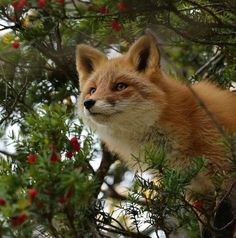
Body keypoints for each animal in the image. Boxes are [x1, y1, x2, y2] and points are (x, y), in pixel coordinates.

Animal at [76, 35, 236, 238]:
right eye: (93, 90)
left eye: (120, 86)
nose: (89, 103)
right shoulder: (198, 190)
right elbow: (207, 229)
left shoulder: (225, 169)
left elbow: (223, 219)